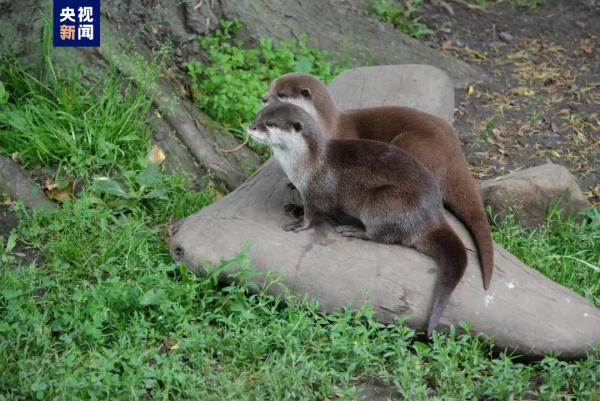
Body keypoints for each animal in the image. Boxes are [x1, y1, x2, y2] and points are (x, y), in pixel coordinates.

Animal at [248, 102, 468, 334]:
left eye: (270, 124)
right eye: (258, 116)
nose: (250, 127)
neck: (307, 163)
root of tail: (432, 219)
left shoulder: (318, 191)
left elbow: (316, 214)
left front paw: (299, 224)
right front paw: (295, 206)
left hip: (383, 202)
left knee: (383, 236)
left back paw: (352, 229)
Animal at [262, 72, 492, 290]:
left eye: (281, 94)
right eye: (270, 86)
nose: (264, 98)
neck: (326, 127)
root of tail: (456, 156)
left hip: (412, 143)